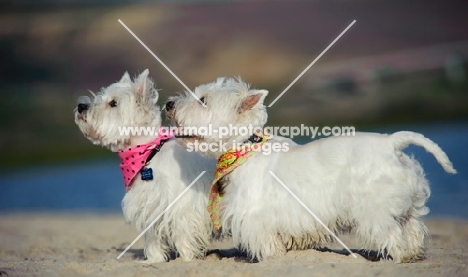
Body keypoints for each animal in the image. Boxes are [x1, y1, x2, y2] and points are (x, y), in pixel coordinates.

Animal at [75, 69, 216, 260]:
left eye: (113, 103)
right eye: (100, 96)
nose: (81, 106)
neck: (148, 153)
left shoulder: (182, 206)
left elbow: (183, 236)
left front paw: (188, 259)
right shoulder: (150, 207)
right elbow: (153, 238)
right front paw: (154, 260)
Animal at [163, 77, 456, 260]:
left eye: (203, 100)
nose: (168, 104)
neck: (244, 148)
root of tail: (392, 142)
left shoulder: (256, 218)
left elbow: (267, 244)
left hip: (375, 209)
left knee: (392, 234)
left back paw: (401, 257)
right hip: (409, 206)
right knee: (414, 229)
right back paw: (415, 254)